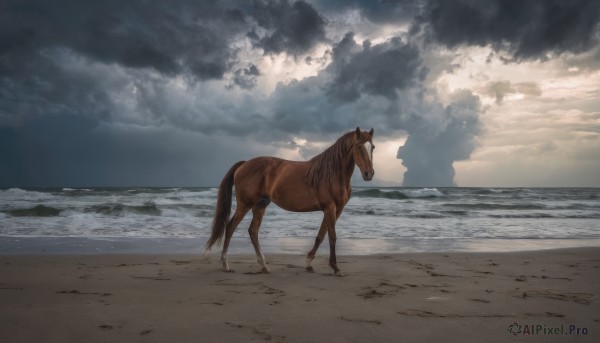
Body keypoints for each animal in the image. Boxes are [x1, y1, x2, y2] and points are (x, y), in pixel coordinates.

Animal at [206, 127, 376, 276]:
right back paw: (225, 264)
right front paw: (335, 268)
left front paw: (308, 262)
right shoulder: (330, 208)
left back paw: (264, 266)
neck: (332, 174)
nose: (369, 174)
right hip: (244, 205)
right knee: (230, 228)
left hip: (260, 205)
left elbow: (321, 235)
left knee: (253, 231)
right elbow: (332, 236)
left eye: (372, 147)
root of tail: (244, 164)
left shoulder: (336, 209)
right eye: (359, 146)